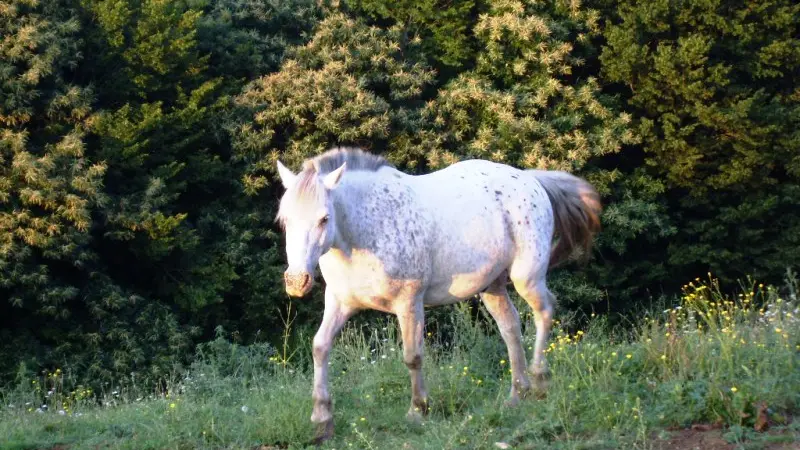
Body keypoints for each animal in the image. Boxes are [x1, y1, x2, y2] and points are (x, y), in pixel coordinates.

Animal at [276, 146, 600, 442]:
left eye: (324, 218)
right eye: (285, 220)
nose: (297, 281)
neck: (366, 230)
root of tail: (531, 179)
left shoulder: (409, 303)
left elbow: (413, 356)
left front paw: (418, 410)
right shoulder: (339, 303)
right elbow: (320, 347)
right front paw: (321, 421)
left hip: (527, 278)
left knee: (544, 312)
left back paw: (540, 381)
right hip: (493, 288)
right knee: (511, 328)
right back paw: (517, 394)